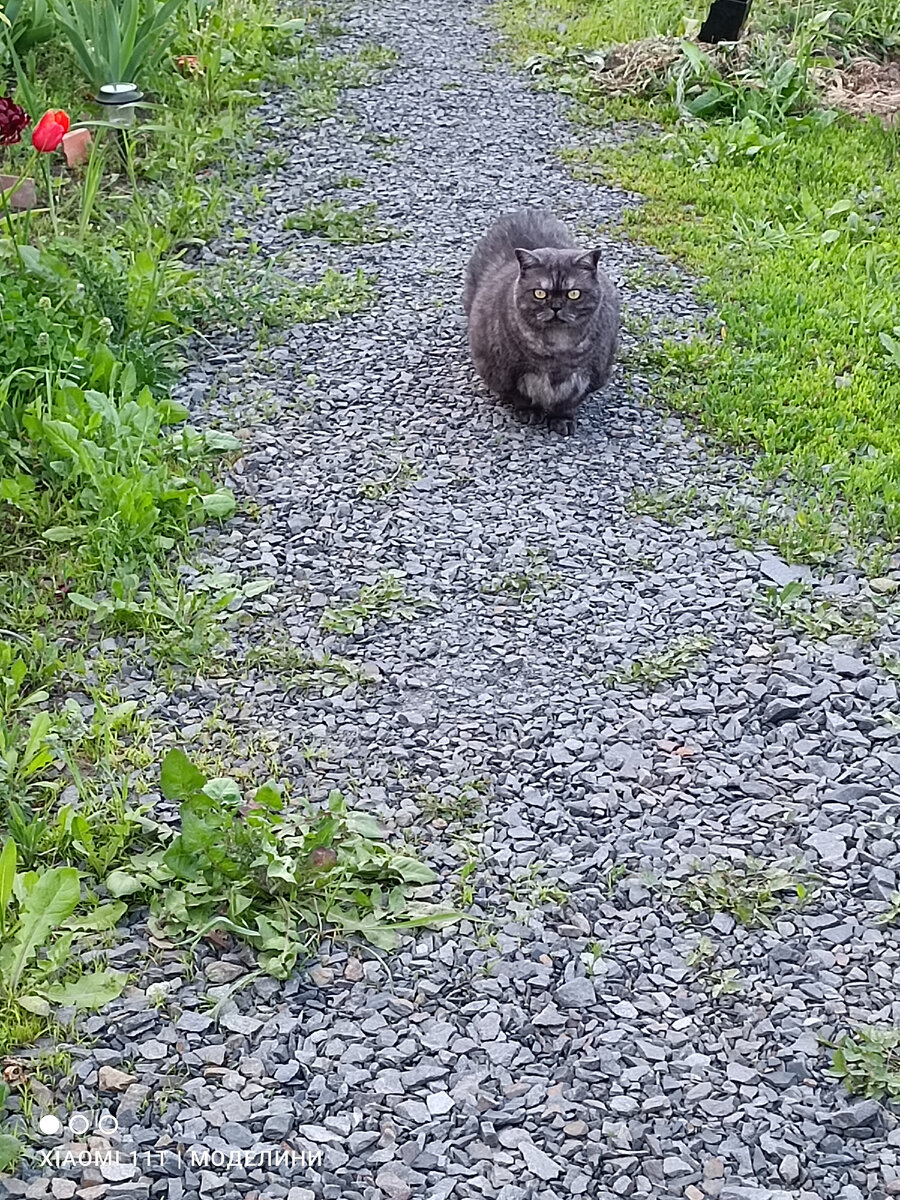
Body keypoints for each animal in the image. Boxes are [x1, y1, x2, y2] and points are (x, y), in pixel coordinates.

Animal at [465, 210, 619, 436]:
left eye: (574, 294)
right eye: (540, 293)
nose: (555, 307)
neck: (557, 348)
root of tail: (522, 212)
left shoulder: (589, 376)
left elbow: (568, 403)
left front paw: (562, 419)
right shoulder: (509, 372)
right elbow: (521, 397)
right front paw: (530, 412)